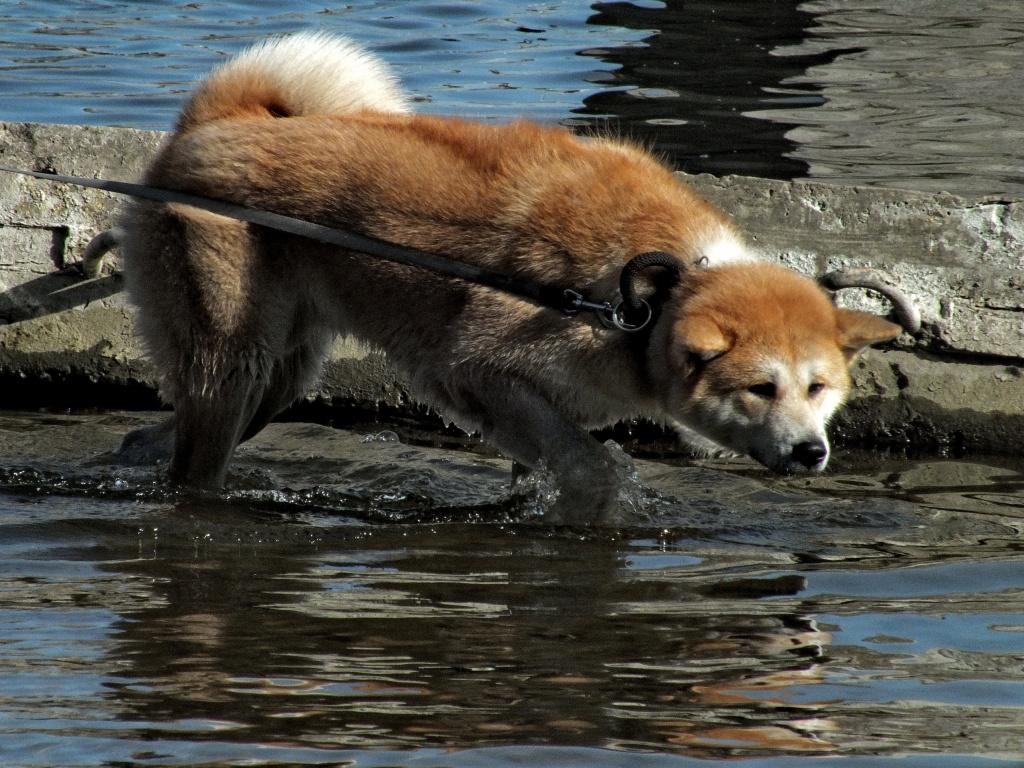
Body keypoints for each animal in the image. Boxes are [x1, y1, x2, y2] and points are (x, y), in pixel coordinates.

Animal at [108, 30, 901, 524]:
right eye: (762, 387)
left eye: (819, 388)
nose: (812, 451)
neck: (644, 299)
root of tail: (211, 125)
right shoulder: (479, 369)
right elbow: (591, 467)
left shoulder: (523, 408)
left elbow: (549, 464)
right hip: (234, 357)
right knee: (197, 456)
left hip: (281, 375)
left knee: (172, 432)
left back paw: (133, 450)